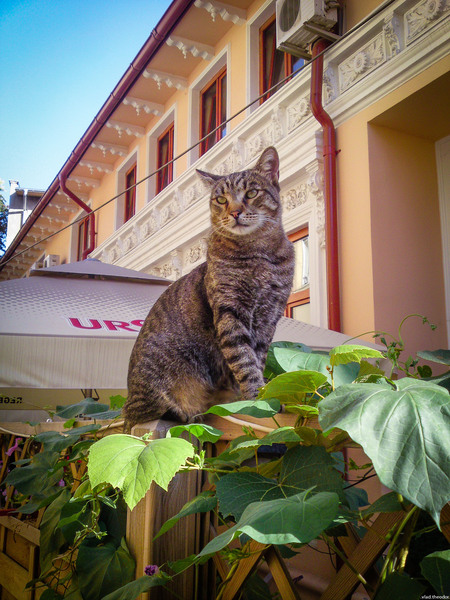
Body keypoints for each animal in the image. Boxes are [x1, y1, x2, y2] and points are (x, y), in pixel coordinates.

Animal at [123, 147, 295, 429]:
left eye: (251, 193)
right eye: (221, 200)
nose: (235, 212)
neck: (260, 254)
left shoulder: (269, 318)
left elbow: (257, 359)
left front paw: (261, 392)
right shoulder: (230, 312)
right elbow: (244, 361)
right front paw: (256, 397)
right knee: (151, 412)